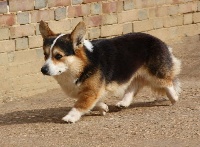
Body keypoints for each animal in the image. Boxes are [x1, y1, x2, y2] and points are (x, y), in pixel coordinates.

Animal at [39, 20, 181, 122]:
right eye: (45, 55)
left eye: (58, 56)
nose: (43, 70)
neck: (81, 64)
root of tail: (159, 40)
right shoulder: (93, 90)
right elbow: (95, 101)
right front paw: (104, 108)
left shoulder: (91, 90)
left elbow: (81, 103)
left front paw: (70, 117)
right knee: (133, 86)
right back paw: (123, 103)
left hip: (155, 73)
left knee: (167, 82)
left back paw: (174, 98)